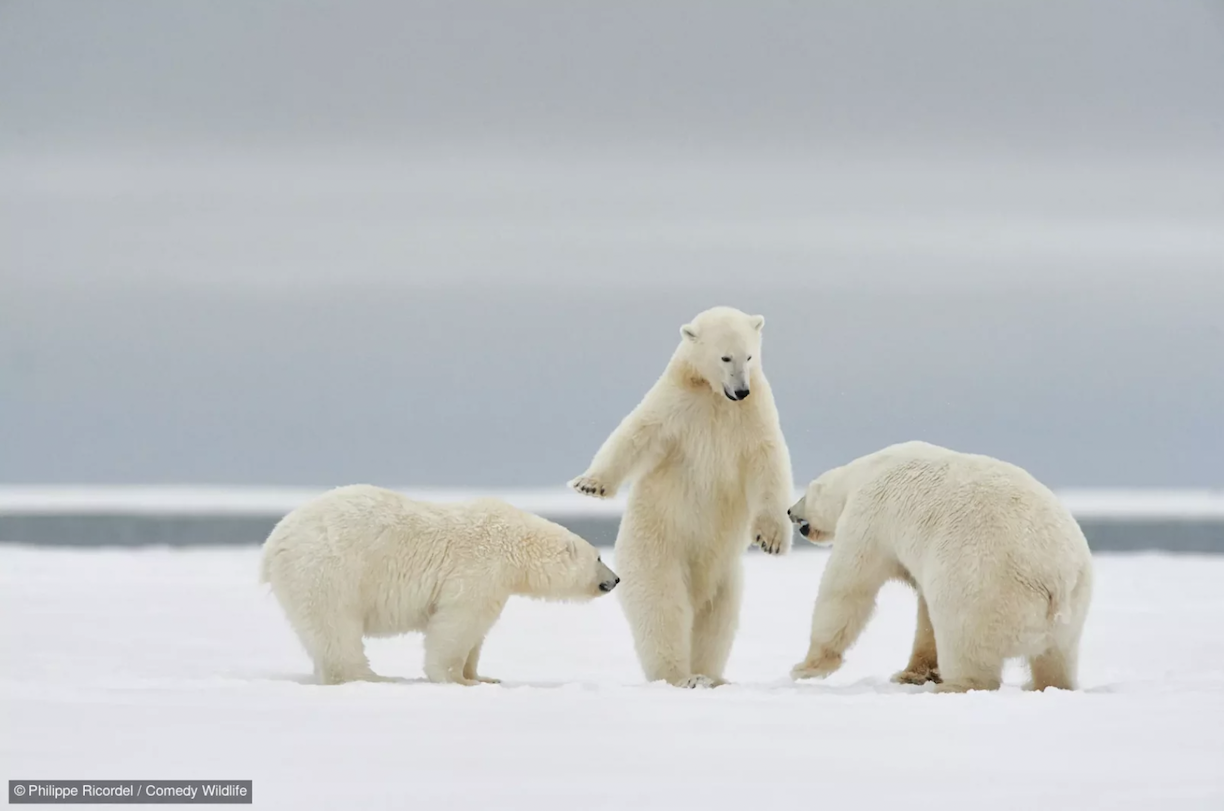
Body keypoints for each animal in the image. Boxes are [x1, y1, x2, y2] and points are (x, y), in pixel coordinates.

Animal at [259, 484, 621, 689]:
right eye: (599, 557)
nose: (615, 579)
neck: (514, 543)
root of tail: (273, 543)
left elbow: (477, 634)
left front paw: (482, 675)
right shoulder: (480, 568)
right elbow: (457, 623)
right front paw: (457, 679)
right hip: (327, 571)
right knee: (336, 629)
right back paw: (374, 678)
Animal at [565, 308, 793, 689]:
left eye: (749, 356)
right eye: (725, 357)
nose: (741, 390)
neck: (714, 397)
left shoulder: (753, 414)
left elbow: (769, 462)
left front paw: (771, 539)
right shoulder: (677, 405)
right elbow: (637, 433)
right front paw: (590, 484)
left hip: (726, 576)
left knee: (717, 620)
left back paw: (711, 675)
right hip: (658, 551)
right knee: (664, 609)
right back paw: (682, 676)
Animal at [788, 440, 1096, 694]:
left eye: (805, 495)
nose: (790, 511)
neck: (867, 469)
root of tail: (1055, 579)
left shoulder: (868, 517)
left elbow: (847, 586)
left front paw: (805, 667)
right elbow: (925, 613)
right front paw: (912, 674)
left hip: (983, 587)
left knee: (964, 641)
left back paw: (953, 685)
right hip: (1073, 609)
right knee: (1056, 658)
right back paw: (1047, 685)